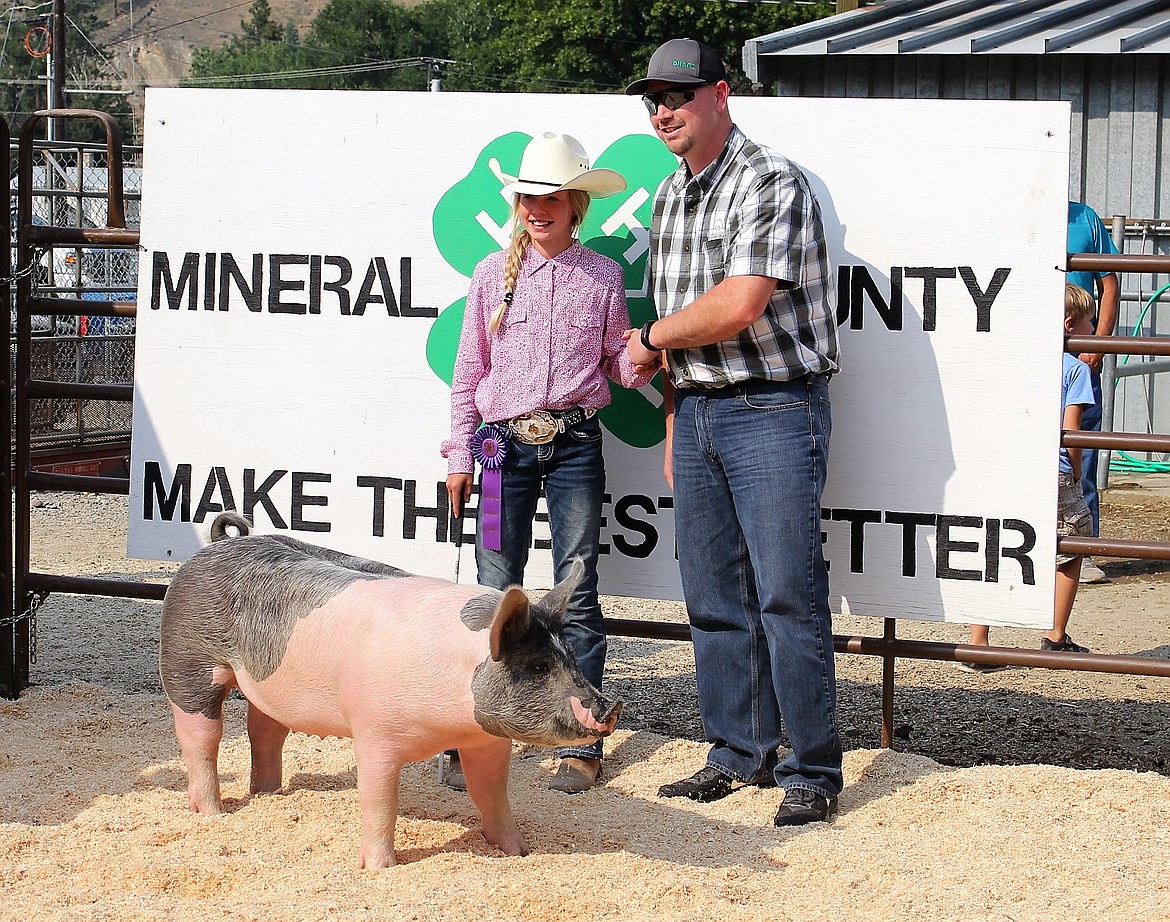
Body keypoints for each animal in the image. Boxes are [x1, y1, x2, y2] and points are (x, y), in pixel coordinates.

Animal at [162, 514, 631, 865]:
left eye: (570, 656)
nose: (607, 708)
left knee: (265, 729)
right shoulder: (374, 731)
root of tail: (217, 545)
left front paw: (518, 852)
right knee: (200, 738)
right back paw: (213, 813)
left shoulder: (487, 739)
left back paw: (268, 794)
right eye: (536, 666)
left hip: (267, 684)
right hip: (187, 661)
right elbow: (379, 799)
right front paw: (379, 867)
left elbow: (492, 793)